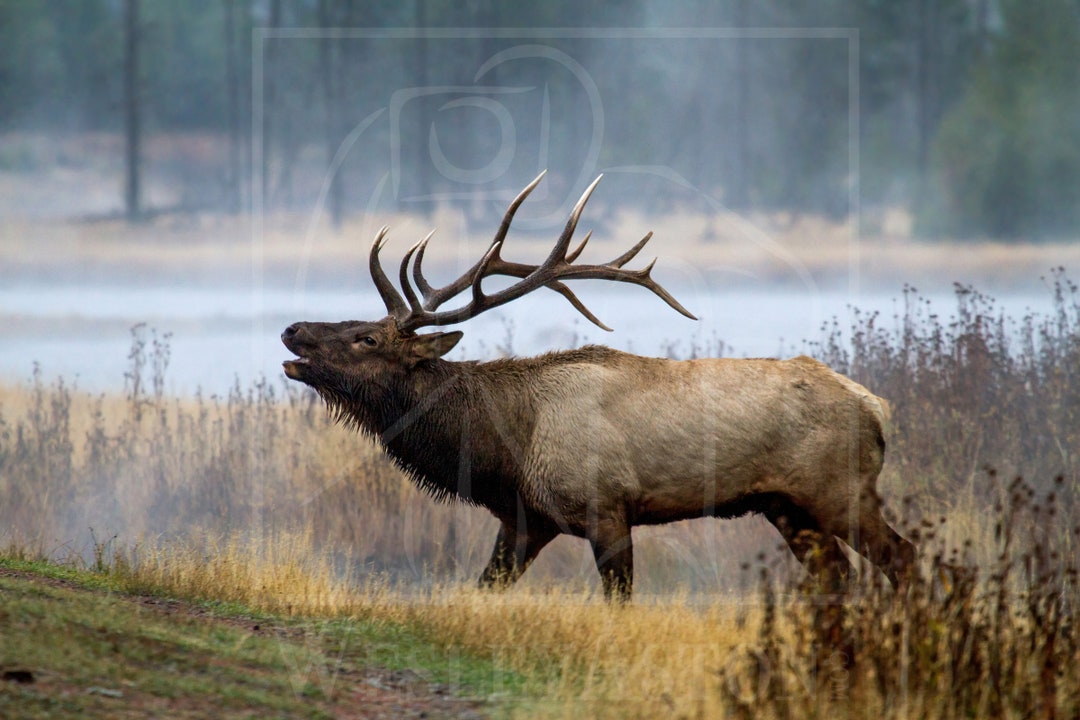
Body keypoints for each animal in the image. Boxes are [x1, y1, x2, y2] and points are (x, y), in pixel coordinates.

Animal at [281, 171, 915, 602]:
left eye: (366, 337)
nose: (293, 331)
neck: (505, 449)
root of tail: (877, 407)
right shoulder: (526, 519)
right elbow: (485, 586)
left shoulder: (606, 507)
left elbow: (620, 599)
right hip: (786, 507)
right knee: (838, 575)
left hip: (841, 492)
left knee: (902, 556)